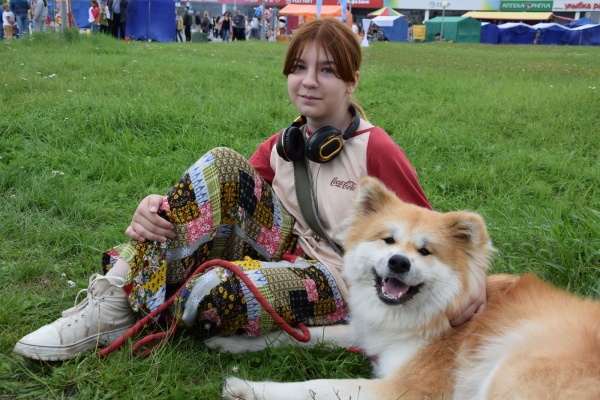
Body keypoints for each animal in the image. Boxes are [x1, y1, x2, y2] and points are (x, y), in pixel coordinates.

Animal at [218, 177, 600, 399]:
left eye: (425, 251)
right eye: (388, 240)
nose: (399, 263)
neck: (432, 316)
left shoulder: (408, 390)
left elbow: (316, 386)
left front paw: (246, 388)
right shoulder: (368, 334)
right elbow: (304, 334)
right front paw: (231, 342)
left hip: (509, 373)